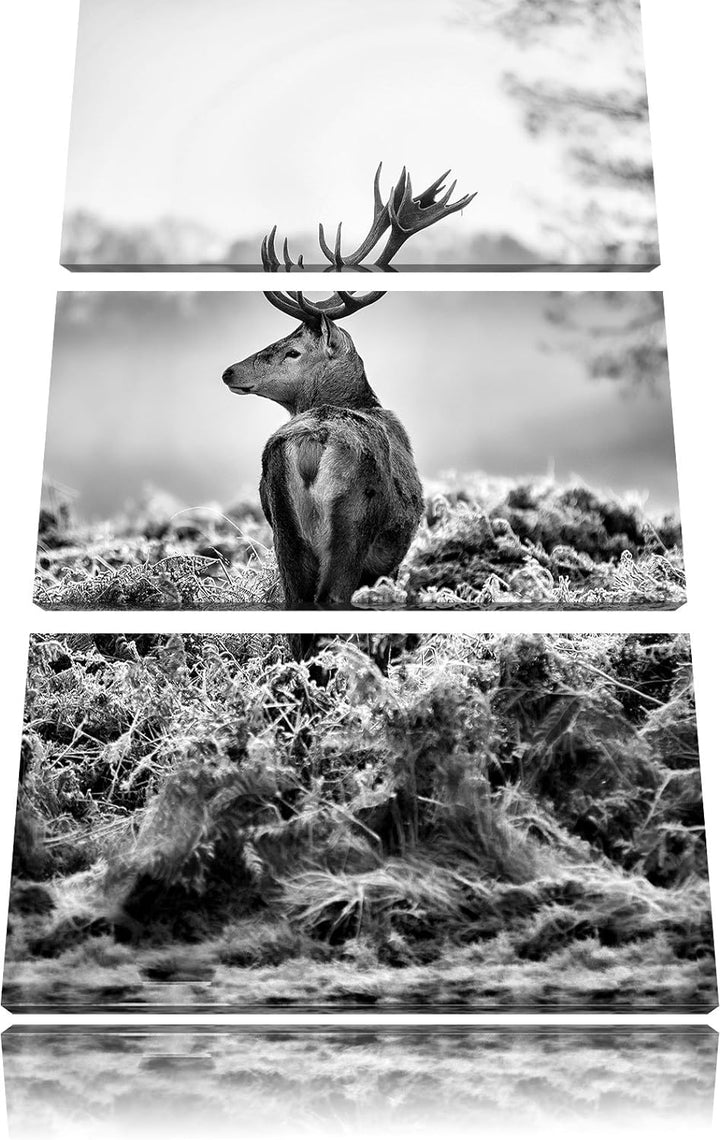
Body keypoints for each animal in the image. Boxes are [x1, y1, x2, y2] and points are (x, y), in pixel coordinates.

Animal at [222, 165, 476, 611]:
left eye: (291, 351)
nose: (229, 372)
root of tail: (311, 442)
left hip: (282, 525)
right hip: (354, 520)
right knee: (332, 596)